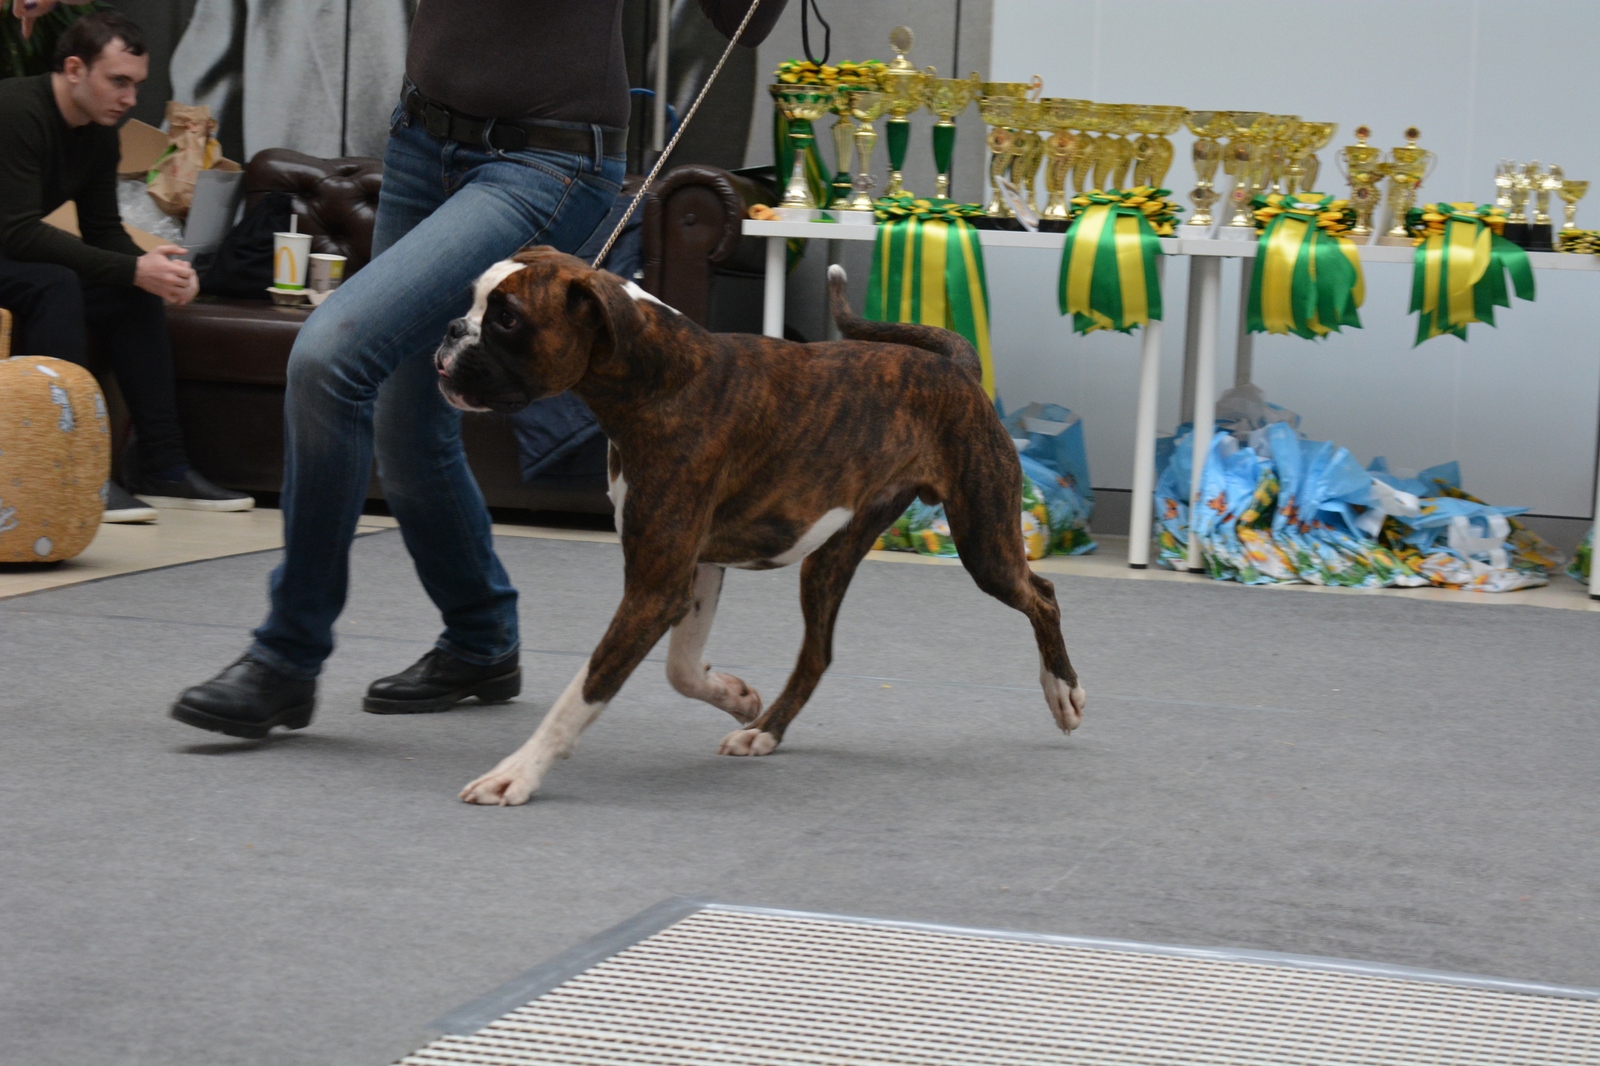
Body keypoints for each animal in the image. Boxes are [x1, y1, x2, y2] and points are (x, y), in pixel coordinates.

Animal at [438, 244, 1088, 800]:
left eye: (507, 320)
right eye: (471, 300)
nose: (449, 330)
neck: (661, 379)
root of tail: (955, 368)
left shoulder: (654, 587)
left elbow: (584, 690)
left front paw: (517, 773)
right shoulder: (691, 571)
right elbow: (680, 669)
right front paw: (735, 695)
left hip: (984, 546)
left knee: (1042, 596)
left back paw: (1062, 692)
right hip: (828, 561)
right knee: (817, 655)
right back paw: (764, 730)